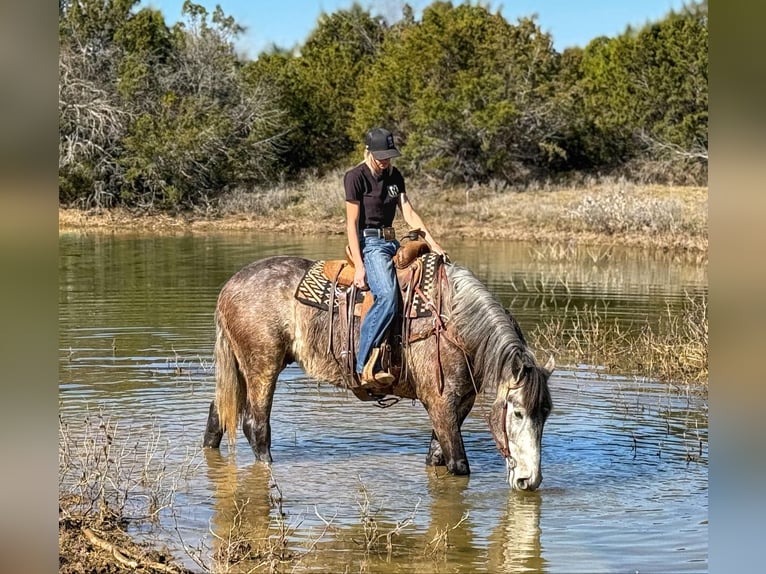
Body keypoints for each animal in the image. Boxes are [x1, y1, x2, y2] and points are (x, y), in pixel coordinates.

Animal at [202, 255, 554, 490]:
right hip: (262, 367)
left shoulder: (460, 404)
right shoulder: (440, 403)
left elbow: (435, 457)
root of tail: (229, 287)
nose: (530, 480)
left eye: (545, 415)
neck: (456, 323)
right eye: (518, 413)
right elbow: (458, 465)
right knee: (257, 428)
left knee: (218, 415)